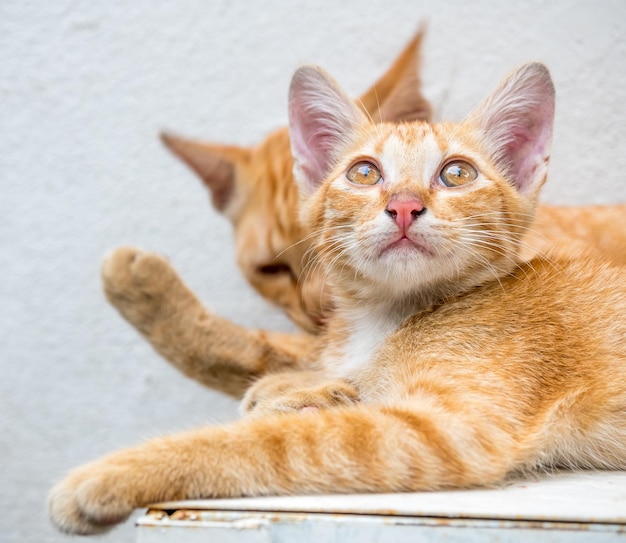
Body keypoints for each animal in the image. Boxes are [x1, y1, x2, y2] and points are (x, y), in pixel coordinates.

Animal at [48, 60, 624, 536]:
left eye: (457, 173)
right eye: (363, 172)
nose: (405, 206)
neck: (385, 318)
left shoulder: (447, 429)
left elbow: (272, 444)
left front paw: (114, 472)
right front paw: (300, 390)